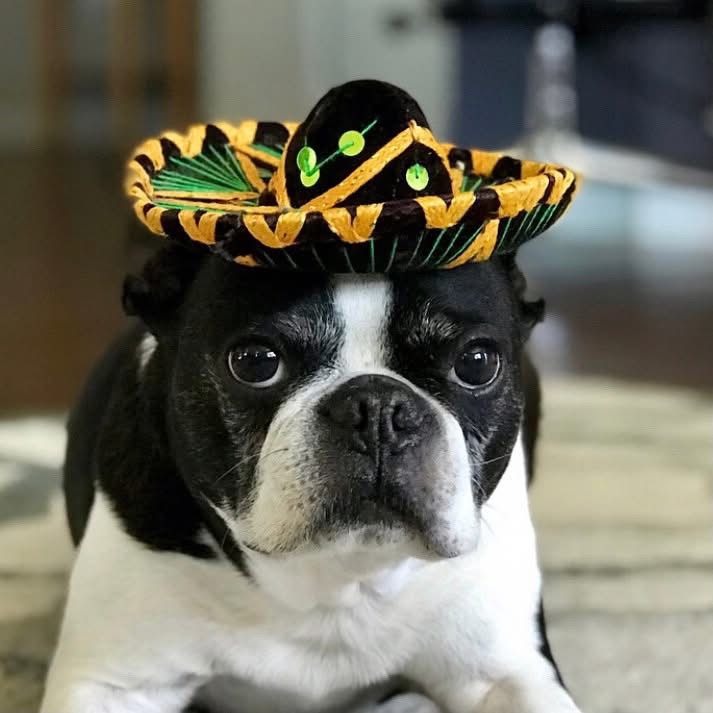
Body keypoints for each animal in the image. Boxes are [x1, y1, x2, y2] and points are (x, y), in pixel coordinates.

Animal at [41, 242, 582, 713]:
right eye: (255, 362)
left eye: (476, 363)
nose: (377, 407)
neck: (340, 580)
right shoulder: (113, 685)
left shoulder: (507, 673)